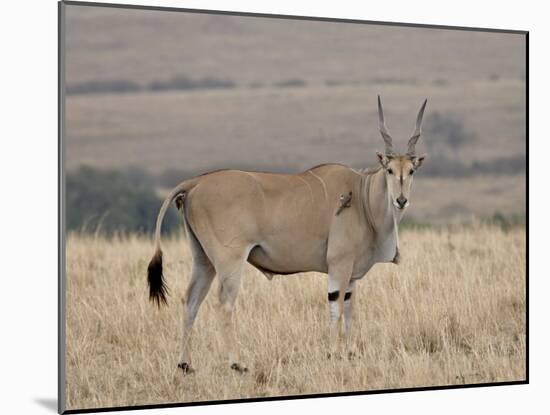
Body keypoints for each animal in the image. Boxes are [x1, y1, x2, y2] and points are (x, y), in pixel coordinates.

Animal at [149, 96, 430, 374]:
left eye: (411, 171)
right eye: (390, 170)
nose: (401, 200)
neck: (362, 196)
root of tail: (195, 183)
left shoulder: (351, 275)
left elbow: (349, 309)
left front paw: (350, 354)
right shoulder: (339, 266)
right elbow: (336, 307)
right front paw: (332, 354)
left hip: (203, 260)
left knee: (190, 300)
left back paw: (185, 364)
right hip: (230, 261)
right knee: (224, 304)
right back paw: (237, 363)